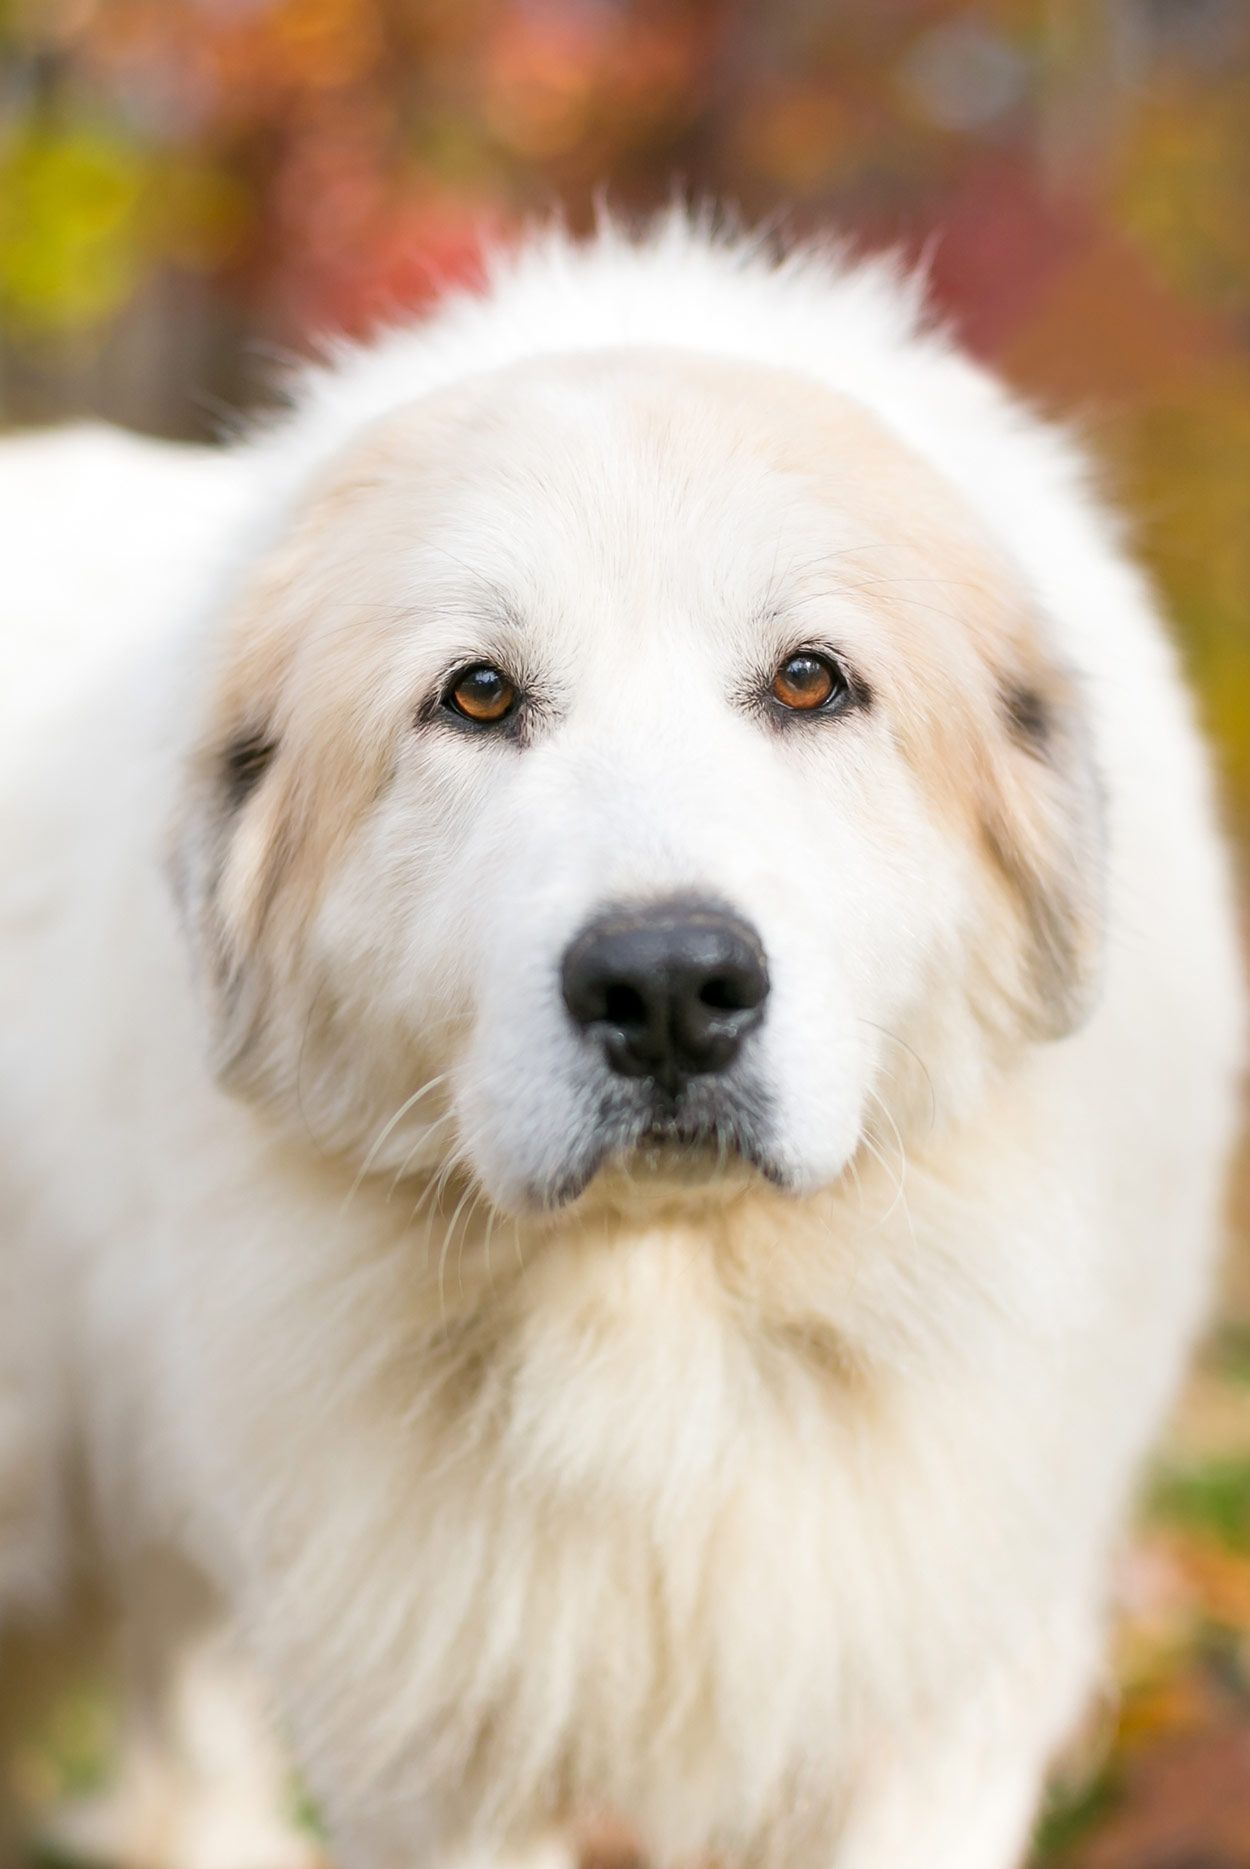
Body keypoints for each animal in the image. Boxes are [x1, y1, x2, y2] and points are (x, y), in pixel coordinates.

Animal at [0, 218, 1240, 1869]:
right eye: (475, 694)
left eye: (809, 679)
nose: (664, 985)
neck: (666, 1321)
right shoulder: (442, 1743)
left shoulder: (928, 1712)